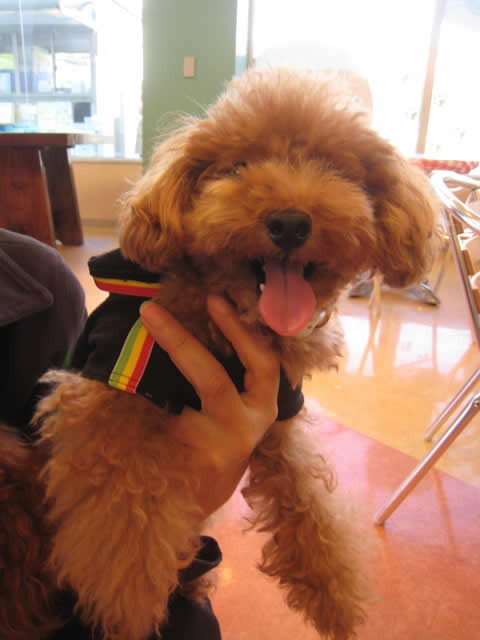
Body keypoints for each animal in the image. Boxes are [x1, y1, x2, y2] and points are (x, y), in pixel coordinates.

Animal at [0, 68, 438, 640]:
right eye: (238, 168)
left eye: (334, 168)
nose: (290, 222)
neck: (227, 319)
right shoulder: (111, 402)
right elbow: (124, 520)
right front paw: (128, 610)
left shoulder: (276, 415)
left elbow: (311, 505)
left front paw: (336, 599)